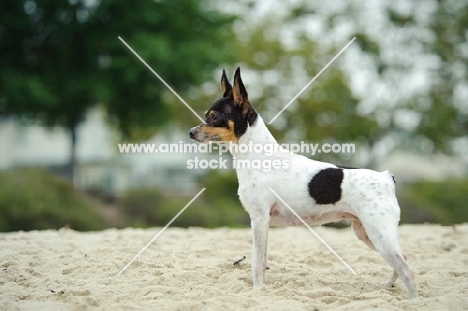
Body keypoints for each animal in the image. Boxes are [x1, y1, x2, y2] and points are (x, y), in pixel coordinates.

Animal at [188, 68, 418, 300]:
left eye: (214, 116)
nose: (191, 132)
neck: (258, 156)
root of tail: (386, 177)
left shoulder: (259, 220)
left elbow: (256, 264)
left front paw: (257, 291)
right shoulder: (264, 223)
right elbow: (263, 262)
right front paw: (263, 291)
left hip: (379, 235)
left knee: (407, 270)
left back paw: (413, 301)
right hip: (367, 234)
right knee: (404, 259)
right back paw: (389, 286)